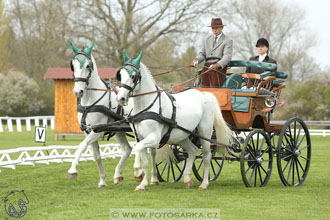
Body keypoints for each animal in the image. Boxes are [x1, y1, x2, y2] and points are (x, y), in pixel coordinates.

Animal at [67, 40, 133, 186]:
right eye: (72, 66)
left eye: (88, 65)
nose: (78, 91)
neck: (89, 103)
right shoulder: (87, 130)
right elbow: (96, 156)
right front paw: (102, 180)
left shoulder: (98, 130)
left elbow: (82, 145)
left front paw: (72, 170)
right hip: (119, 131)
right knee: (128, 149)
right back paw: (118, 174)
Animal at [116, 50, 232, 191]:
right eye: (120, 74)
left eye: (133, 76)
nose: (121, 98)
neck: (146, 107)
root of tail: (204, 93)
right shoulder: (140, 137)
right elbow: (144, 160)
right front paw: (142, 184)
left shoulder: (154, 138)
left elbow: (137, 149)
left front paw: (137, 173)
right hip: (182, 135)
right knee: (192, 151)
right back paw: (187, 179)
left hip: (205, 132)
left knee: (207, 155)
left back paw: (204, 183)